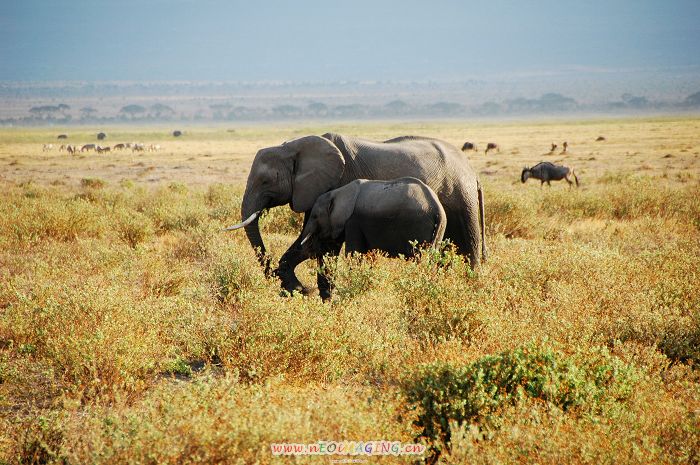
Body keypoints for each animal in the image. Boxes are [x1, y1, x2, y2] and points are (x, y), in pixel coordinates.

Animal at [297, 177, 447, 299]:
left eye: (314, 216)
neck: (339, 192)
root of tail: (437, 209)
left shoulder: (353, 222)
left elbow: (353, 255)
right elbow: (370, 255)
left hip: (419, 227)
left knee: (419, 259)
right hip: (439, 230)